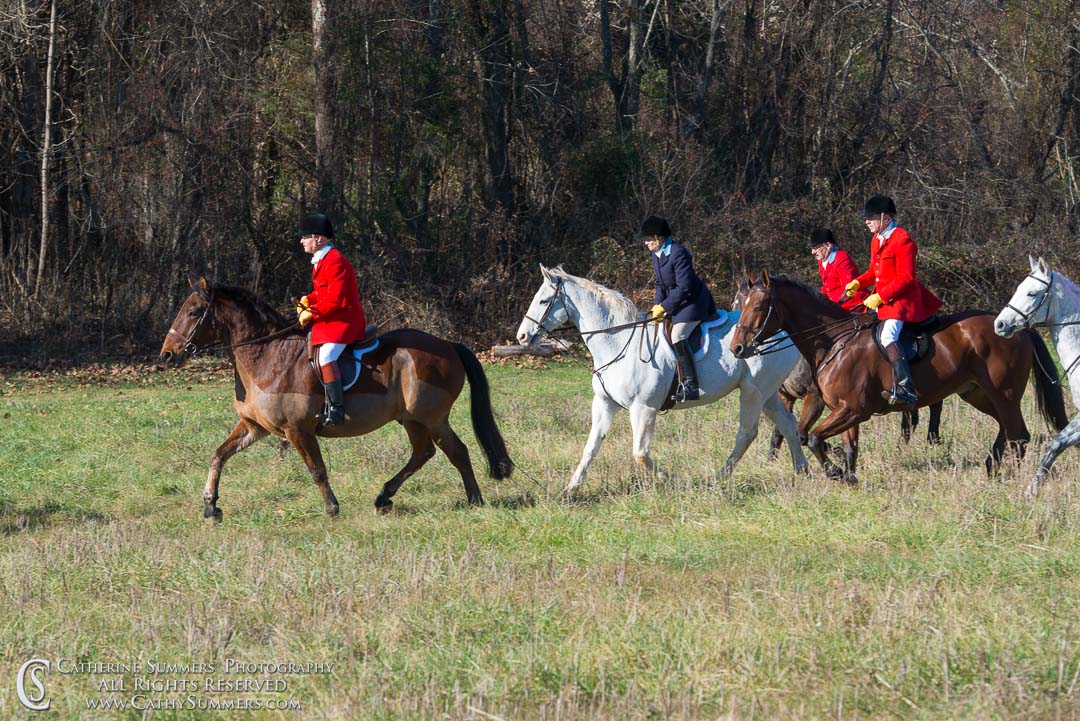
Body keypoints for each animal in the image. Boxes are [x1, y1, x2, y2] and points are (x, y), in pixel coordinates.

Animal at [159, 276, 514, 518]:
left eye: (194, 312)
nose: (166, 355)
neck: (267, 357)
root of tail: (448, 345)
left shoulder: (297, 430)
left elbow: (317, 469)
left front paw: (331, 507)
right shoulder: (253, 426)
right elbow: (219, 455)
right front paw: (211, 505)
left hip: (431, 417)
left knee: (458, 451)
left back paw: (474, 499)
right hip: (412, 419)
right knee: (423, 453)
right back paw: (385, 496)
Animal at [516, 264, 812, 496]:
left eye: (543, 301)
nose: (521, 337)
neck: (616, 342)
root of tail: (783, 331)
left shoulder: (643, 408)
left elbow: (639, 453)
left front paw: (668, 479)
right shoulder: (604, 404)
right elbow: (591, 447)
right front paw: (571, 488)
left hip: (752, 390)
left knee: (747, 433)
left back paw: (719, 478)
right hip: (767, 392)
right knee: (787, 424)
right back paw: (803, 471)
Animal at [730, 273, 1067, 481]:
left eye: (758, 306)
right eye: (740, 304)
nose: (737, 348)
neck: (834, 340)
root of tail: (1016, 328)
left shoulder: (851, 409)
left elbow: (812, 437)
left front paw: (835, 472)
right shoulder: (845, 410)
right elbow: (845, 446)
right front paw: (849, 475)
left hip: (1003, 393)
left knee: (1019, 435)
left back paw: (1011, 477)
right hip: (978, 393)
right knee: (1006, 429)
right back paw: (991, 465)